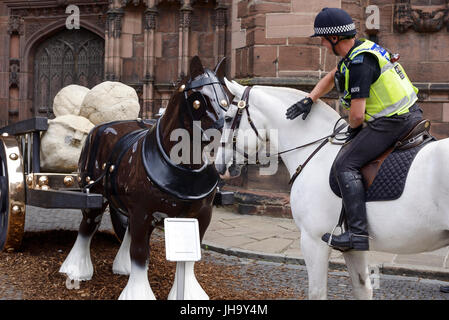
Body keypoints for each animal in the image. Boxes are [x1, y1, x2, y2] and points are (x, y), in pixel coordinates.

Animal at [217, 78, 448, 300]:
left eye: (228, 118)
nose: (219, 167)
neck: (316, 152)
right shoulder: (353, 248)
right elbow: (362, 290)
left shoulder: (313, 241)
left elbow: (317, 293)